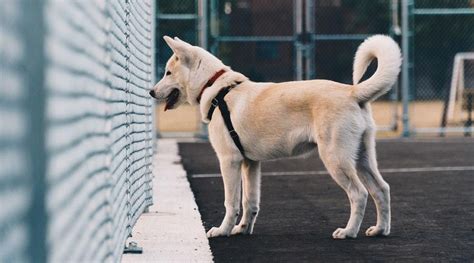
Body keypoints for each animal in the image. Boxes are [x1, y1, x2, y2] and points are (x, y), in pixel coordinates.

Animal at [151, 34, 400, 240]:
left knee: (359, 194)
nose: (151, 92)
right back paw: (380, 230)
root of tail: (352, 92)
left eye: (168, 73)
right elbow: (250, 202)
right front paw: (242, 229)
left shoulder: (229, 161)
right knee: (382, 189)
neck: (215, 88)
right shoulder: (250, 164)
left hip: (336, 159)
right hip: (362, 159)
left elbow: (231, 202)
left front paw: (223, 231)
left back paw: (348, 232)